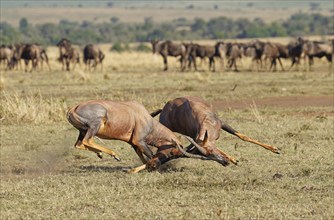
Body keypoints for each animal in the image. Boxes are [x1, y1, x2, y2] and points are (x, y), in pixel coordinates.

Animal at [66, 99, 228, 174]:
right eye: (172, 152)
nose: (225, 162)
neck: (144, 117)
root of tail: (72, 109)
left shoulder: (134, 143)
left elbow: (145, 158)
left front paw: (133, 170)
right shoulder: (139, 140)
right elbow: (150, 156)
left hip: (82, 130)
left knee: (79, 144)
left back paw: (100, 154)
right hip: (95, 124)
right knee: (87, 140)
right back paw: (114, 154)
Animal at [151, 96, 280, 165]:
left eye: (211, 151)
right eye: (204, 154)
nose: (225, 162)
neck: (206, 119)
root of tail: (164, 109)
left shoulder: (222, 124)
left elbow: (242, 136)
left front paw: (275, 149)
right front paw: (234, 159)